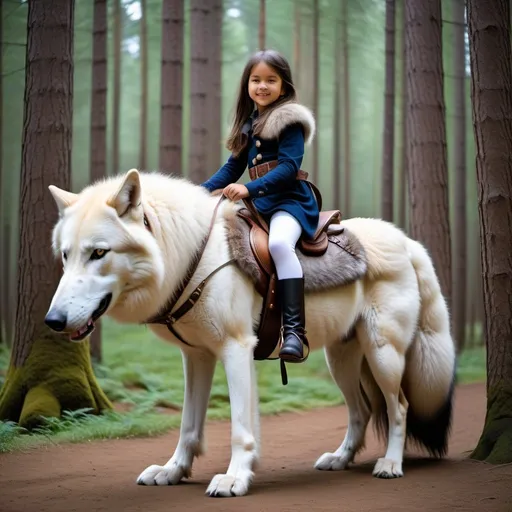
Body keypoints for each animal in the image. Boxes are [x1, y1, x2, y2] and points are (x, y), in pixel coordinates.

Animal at [45, 170, 456, 498]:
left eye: (99, 253)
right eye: (66, 255)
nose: (53, 320)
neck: (195, 258)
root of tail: (409, 242)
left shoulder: (236, 349)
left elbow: (240, 428)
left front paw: (234, 479)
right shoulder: (196, 357)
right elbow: (188, 426)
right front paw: (173, 472)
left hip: (383, 354)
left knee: (399, 407)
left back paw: (390, 464)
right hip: (341, 361)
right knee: (363, 410)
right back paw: (340, 459)